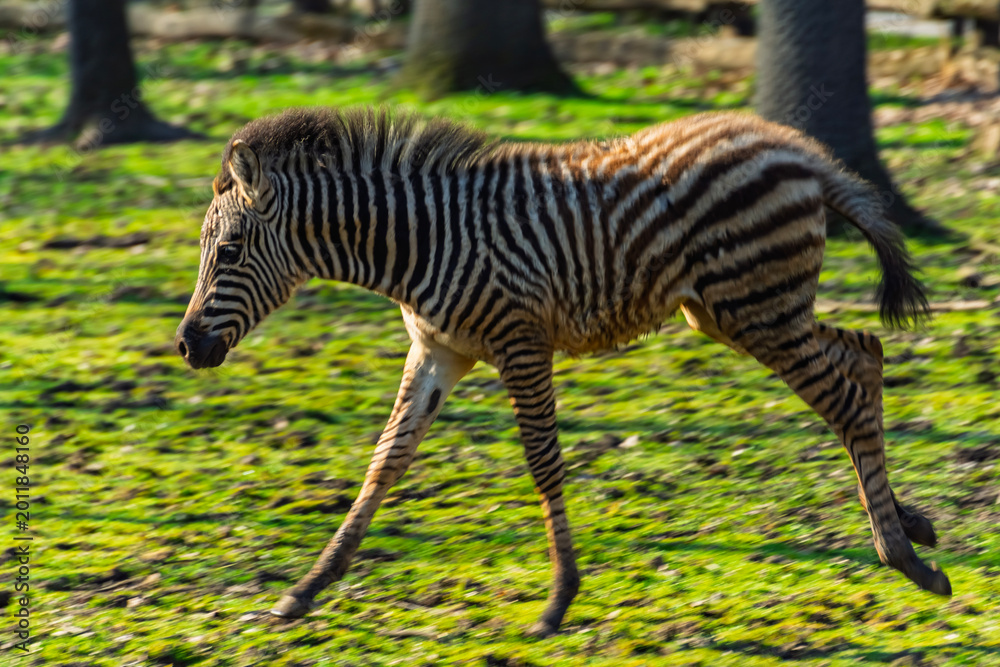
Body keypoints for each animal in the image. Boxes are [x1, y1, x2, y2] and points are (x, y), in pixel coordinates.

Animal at [175, 107, 951, 636]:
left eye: (231, 250)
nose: (186, 347)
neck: (420, 243)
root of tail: (797, 150)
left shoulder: (521, 341)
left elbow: (542, 461)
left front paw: (560, 597)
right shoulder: (438, 351)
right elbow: (385, 461)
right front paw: (308, 587)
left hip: (756, 308)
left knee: (844, 391)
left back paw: (903, 556)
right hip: (734, 311)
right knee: (864, 358)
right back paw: (910, 525)